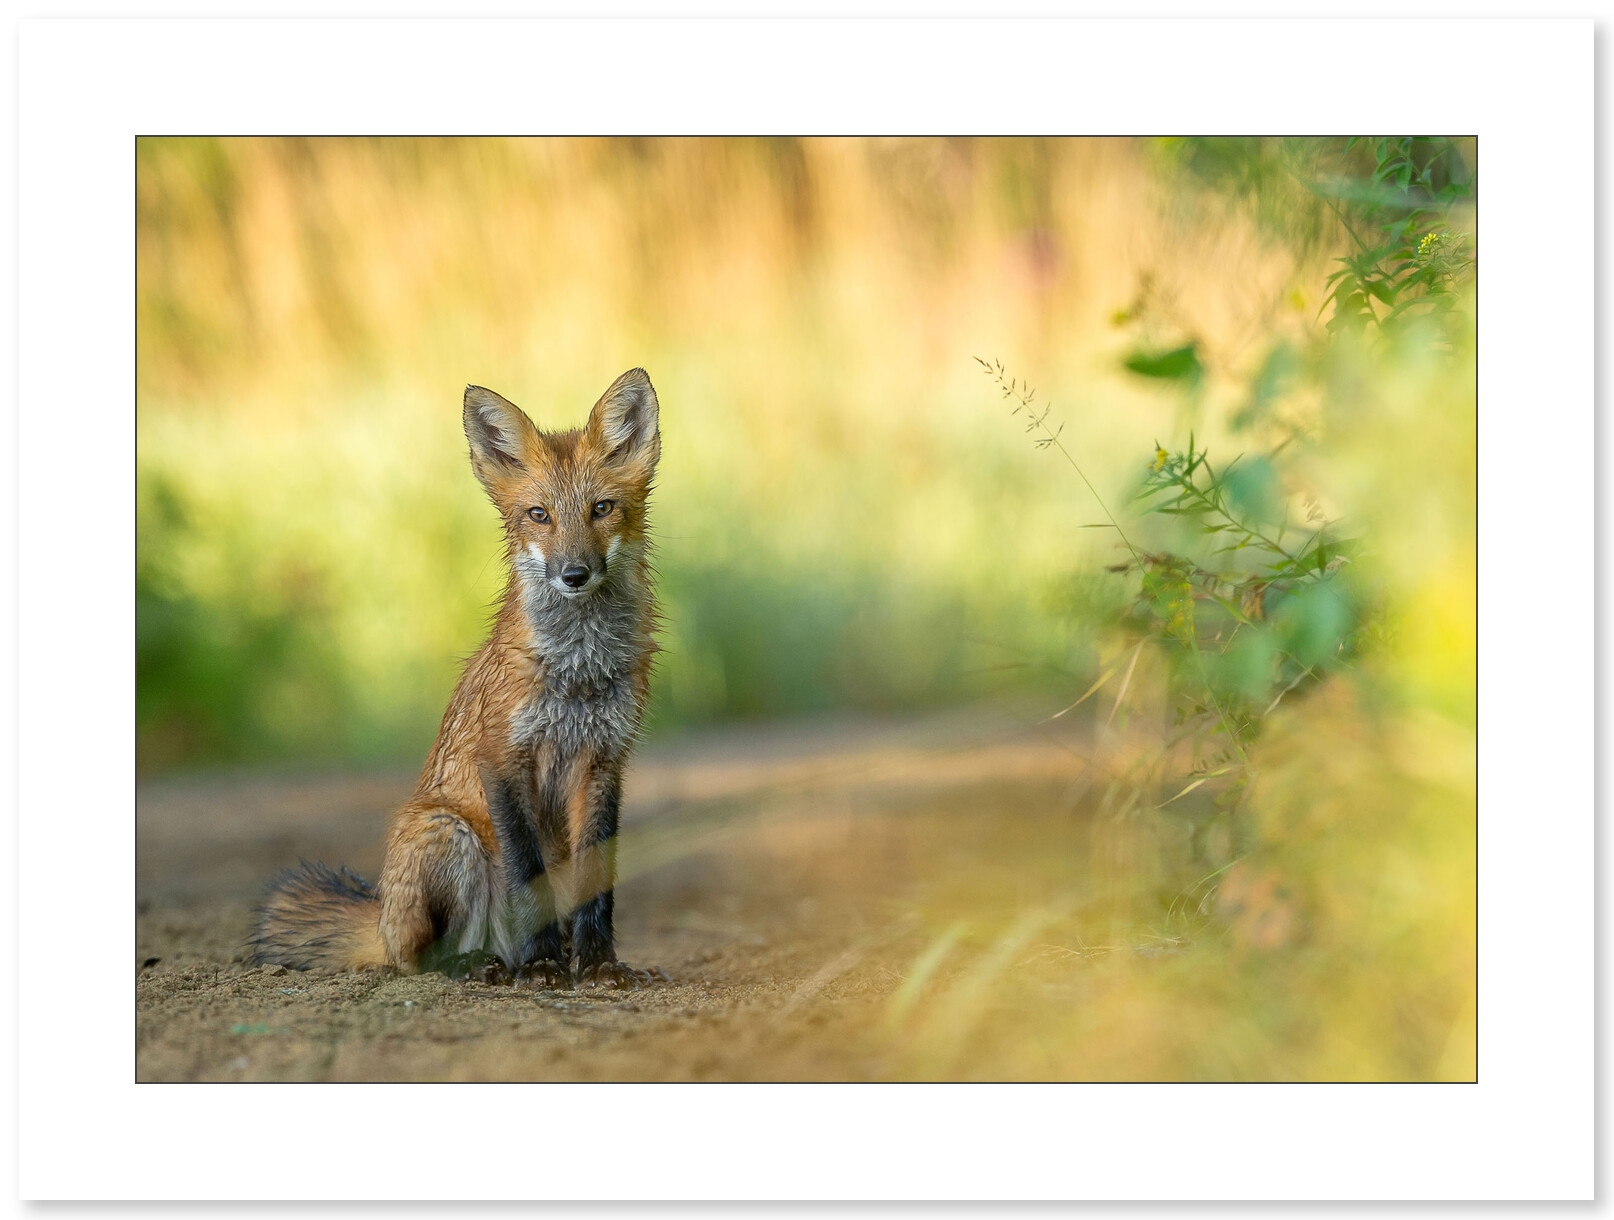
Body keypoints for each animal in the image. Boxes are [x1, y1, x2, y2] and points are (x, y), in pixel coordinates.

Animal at [250, 368, 665, 990]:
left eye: (602, 508)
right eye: (539, 515)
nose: (574, 574)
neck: (578, 671)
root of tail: (380, 918)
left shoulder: (605, 760)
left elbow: (598, 887)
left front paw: (598, 965)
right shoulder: (502, 757)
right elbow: (526, 876)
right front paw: (544, 966)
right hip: (450, 834)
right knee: (415, 960)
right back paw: (487, 964)